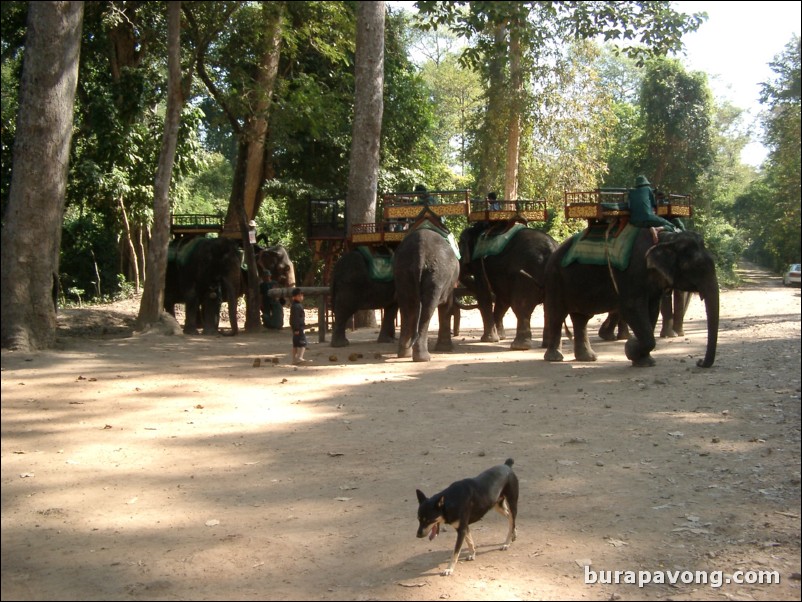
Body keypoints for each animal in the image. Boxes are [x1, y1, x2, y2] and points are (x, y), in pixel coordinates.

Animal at [392, 224, 456, 356]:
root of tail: (420, 251)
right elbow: (447, 305)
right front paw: (446, 349)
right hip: (438, 274)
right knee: (427, 308)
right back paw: (423, 357)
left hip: (401, 271)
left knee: (406, 306)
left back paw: (404, 353)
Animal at [544, 225, 720, 366]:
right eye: (695, 266)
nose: (699, 362)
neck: (666, 239)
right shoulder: (632, 272)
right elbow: (631, 308)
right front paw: (631, 348)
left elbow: (652, 310)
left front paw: (643, 360)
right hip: (554, 279)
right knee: (557, 314)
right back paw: (555, 358)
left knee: (581, 318)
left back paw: (588, 358)